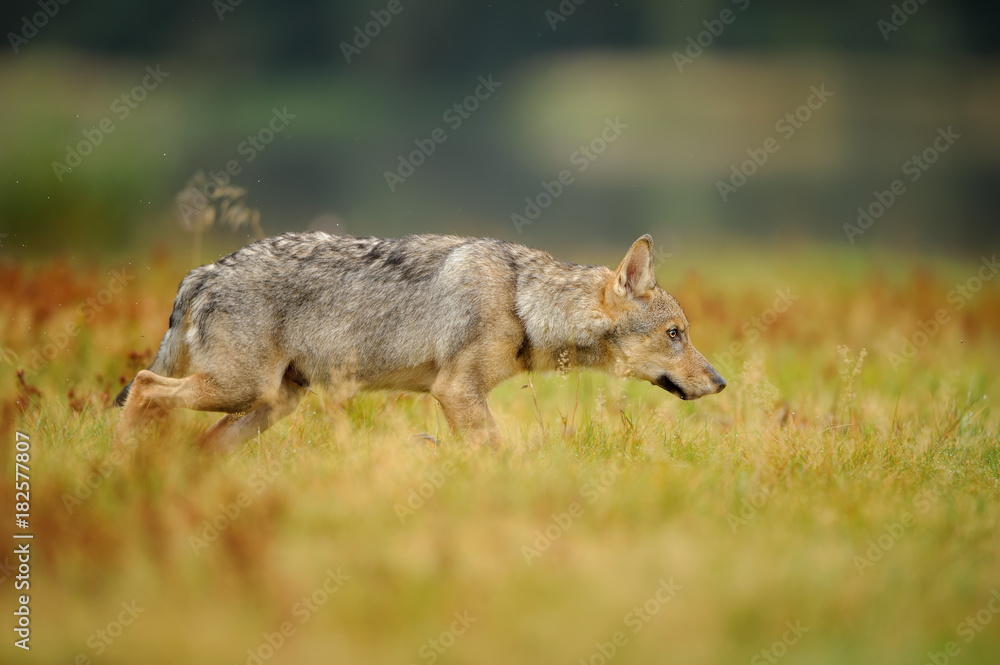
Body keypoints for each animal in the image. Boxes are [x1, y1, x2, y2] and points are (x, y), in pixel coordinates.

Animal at [115, 232, 726, 449]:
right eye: (675, 335)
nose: (720, 382)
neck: (523, 301)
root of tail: (203, 272)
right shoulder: (455, 391)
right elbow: (496, 450)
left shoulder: (457, 398)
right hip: (238, 390)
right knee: (142, 386)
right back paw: (121, 463)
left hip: (269, 403)